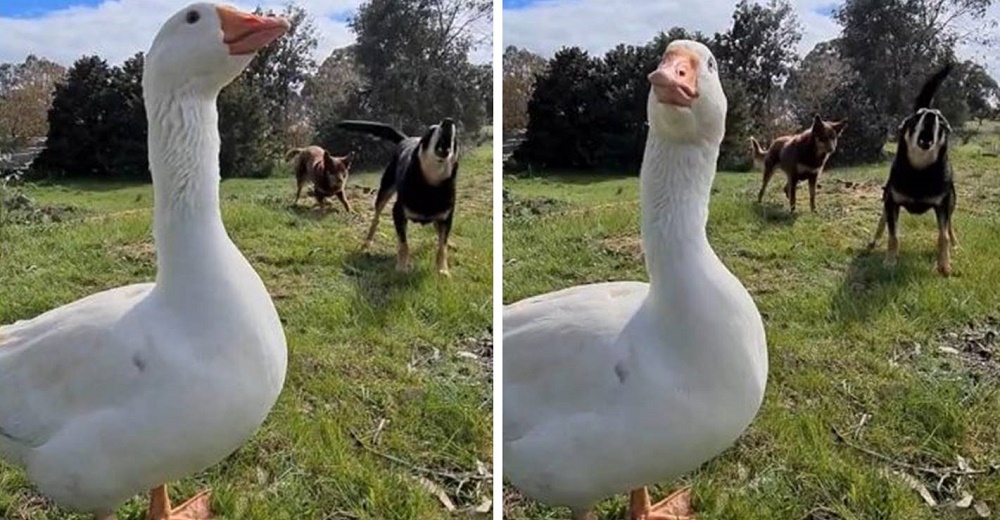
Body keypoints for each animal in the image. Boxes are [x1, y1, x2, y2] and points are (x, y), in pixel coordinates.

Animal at [338, 118, 458, 276]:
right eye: (431, 131)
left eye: (456, 138)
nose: (448, 121)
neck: (431, 187)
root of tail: (407, 139)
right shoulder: (398, 213)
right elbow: (403, 244)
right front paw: (401, 267)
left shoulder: (446, 217)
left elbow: (442, 246)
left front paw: (443, 270)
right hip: (385, 190)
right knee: (375, 219)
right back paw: (367, 242)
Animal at [872, 63, 956, 276]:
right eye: (917, 117)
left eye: (940, 119)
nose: (931, 116)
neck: (920, 171)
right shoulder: (892, 202)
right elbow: (893, 235)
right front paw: (890, 261)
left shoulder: (943, 205)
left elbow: (942, 234)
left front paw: (944, 265)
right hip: (887, 196)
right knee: (883, 220)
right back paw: (874, 239)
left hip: (952, 200)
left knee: (950, 226)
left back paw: (954, 242)